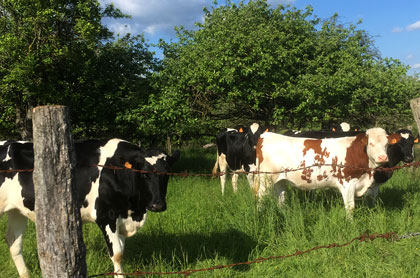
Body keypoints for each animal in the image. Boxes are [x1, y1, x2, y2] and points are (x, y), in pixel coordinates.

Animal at [0, 139, 179, 278]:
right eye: (143, 173)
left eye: (167, 173)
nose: (157, 205)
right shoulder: (106, 216)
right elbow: (117, 254)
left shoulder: (122, 218)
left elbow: (121, 249)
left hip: (16, 211)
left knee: (13, 242)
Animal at [254, 127, 402, 216]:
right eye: (370, 143)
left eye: (386, 144)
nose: (383, 157)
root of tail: (266, 135)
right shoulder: (347, 183)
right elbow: (350, 208)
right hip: (266, 179)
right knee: (260, 197)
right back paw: (259, 214)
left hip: (280, 180)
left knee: (281, 198)